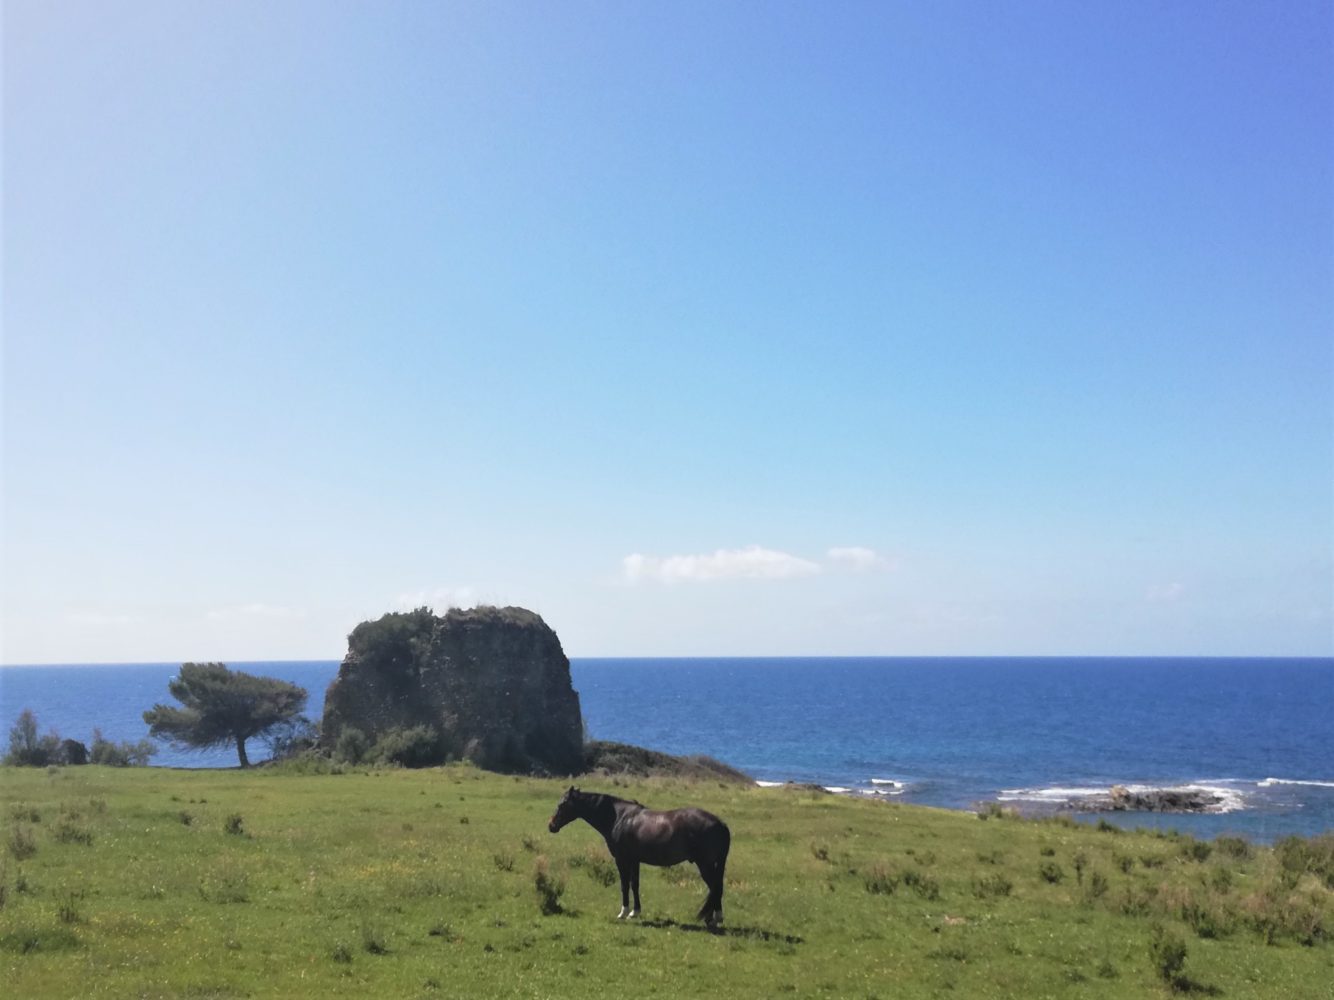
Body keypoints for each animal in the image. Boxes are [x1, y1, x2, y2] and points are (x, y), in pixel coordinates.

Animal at [546, 789, 731, 928]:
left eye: (562, 804)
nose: (551, 826)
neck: (619, 818)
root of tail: (721, 824)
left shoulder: (622, 860)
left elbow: (624, 885)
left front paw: (623, 913)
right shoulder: (635, 860)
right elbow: (635, 885)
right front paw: (635, 912)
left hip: (705, 864)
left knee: (715, 887)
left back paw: (714, 918)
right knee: (716, 888)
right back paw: (714, 918)